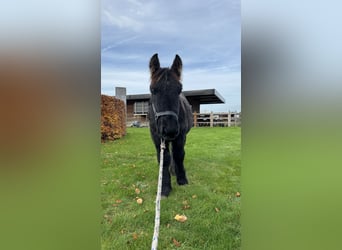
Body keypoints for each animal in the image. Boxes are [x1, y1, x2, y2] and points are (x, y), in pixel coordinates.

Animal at [148, 53, 194, 197]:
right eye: (153, 90)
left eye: (179, 89)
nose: (170, 129)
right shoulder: (157, 137)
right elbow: (164, 158)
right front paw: (164, 187)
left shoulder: (181, 136)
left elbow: (179, 154)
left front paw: (182, 178)